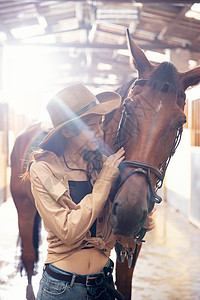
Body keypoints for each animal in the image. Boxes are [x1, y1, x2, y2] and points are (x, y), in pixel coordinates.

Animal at [10, 29, 200, 300]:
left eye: (180, 121)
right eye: (128, 109)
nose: (129, 211)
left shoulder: (130, 246)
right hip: (24, 210)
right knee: (28, 261)